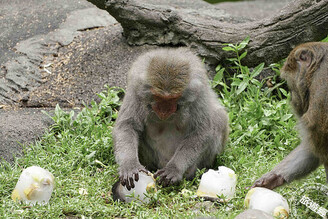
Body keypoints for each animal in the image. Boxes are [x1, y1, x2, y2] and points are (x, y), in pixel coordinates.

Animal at [113, 48, 228, 190]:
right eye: (158, 97)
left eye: (172, 98)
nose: (164, 110)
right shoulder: (136, 89)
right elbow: (128, 125)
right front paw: (130, 165)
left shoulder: (199, 93)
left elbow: (202, 130)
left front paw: (174, 169)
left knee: (219, 117)